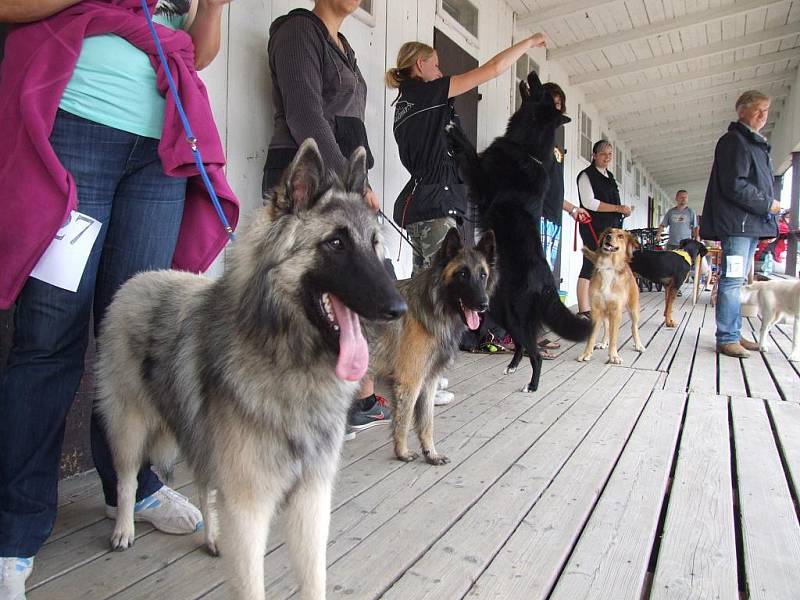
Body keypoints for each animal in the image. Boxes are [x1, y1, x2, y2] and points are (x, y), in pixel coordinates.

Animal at [95, 138, 406, 596]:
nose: (399, 308)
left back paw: (212, 537)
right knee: (127, 477)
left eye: (373, 243)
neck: (288, 358)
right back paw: (123, 528)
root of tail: (137, 279)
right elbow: (251, 584)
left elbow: (314, 579)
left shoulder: (310, 501)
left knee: (204, 485)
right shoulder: (249, 506)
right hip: (130, 425)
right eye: (335, 243)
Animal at [446, 70, 592, 392]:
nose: (534, 73)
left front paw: (454, 129)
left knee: (534, 352)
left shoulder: (482, 179)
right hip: (500, 310)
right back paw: (513, 366)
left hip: (514, 312)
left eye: (544, 91)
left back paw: (532, 385)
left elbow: (470, 151)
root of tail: (548, 283)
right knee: (522, 344)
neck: (528, 147)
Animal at [580, 227, 648, 364]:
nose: (608, 237)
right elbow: (592, 336)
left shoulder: (616, 311)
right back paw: (603, 342)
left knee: (634, 327)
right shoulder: (596, 309)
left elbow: (614, 337)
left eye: (621, 236)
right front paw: (586, 354)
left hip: (633, 309)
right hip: (605, 311)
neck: (608, 266)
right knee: (606, 326)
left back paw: (638, 345)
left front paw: (613, 356)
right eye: (608, 232)